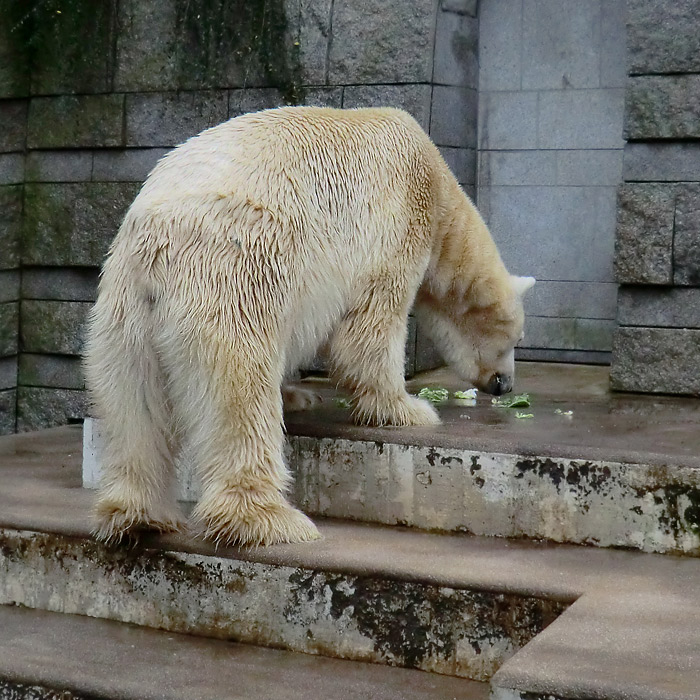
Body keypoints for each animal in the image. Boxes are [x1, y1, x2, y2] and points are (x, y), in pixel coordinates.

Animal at [86, 106, 536, 548]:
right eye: (514, 340)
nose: (505, 385)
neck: (438, 187)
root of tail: (155, 243)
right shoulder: (397, 221)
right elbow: (370, 328)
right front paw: (408, 409)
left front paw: (298, 395)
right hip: (232, 274)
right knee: (239, 387)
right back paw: (268, 519)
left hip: (122, 311)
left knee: (134, 402)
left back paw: (137, 515)